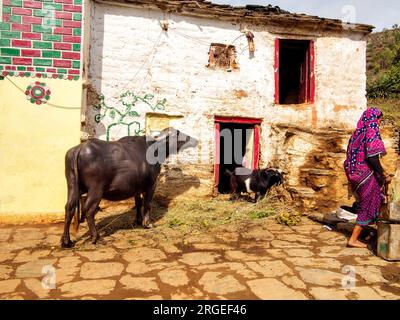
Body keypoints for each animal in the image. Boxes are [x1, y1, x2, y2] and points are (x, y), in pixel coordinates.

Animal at [61, 127, 198, 248]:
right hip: (96, 189)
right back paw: (96, 237)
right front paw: (147, 223)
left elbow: (138, 203)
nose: (194, 140)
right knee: (89, 210)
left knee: (69, 208)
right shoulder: (151, 185)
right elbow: (147, 204)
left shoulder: (136, 187)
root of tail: (80, 148)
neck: (155, 150)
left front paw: (137, 220)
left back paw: (66, 241)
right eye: (177, 133)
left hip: (72, 185)